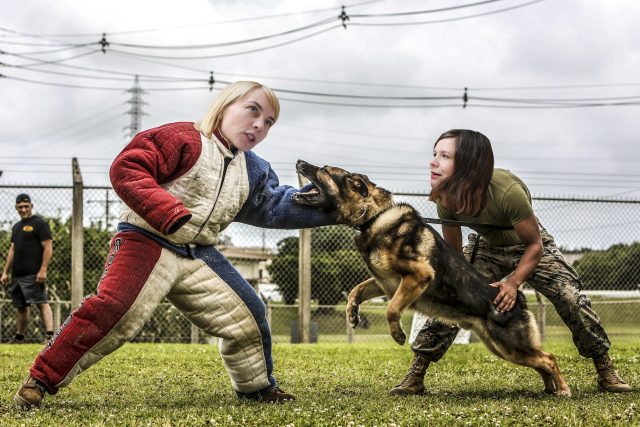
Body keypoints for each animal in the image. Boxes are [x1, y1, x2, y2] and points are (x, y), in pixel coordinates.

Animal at [294, 160, 568, 398]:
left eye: (325, 170)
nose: (299, 162)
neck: (374, 217)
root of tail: (517, 297)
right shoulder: (385, 282)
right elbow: (356, 290)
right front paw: (352, 314)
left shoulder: (419, 274)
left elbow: (391, 309)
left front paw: (398, 335)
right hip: (502, 348)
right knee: (541, 361)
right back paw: (549, 388)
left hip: (510, 346)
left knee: (549, 358)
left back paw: (563, 389)